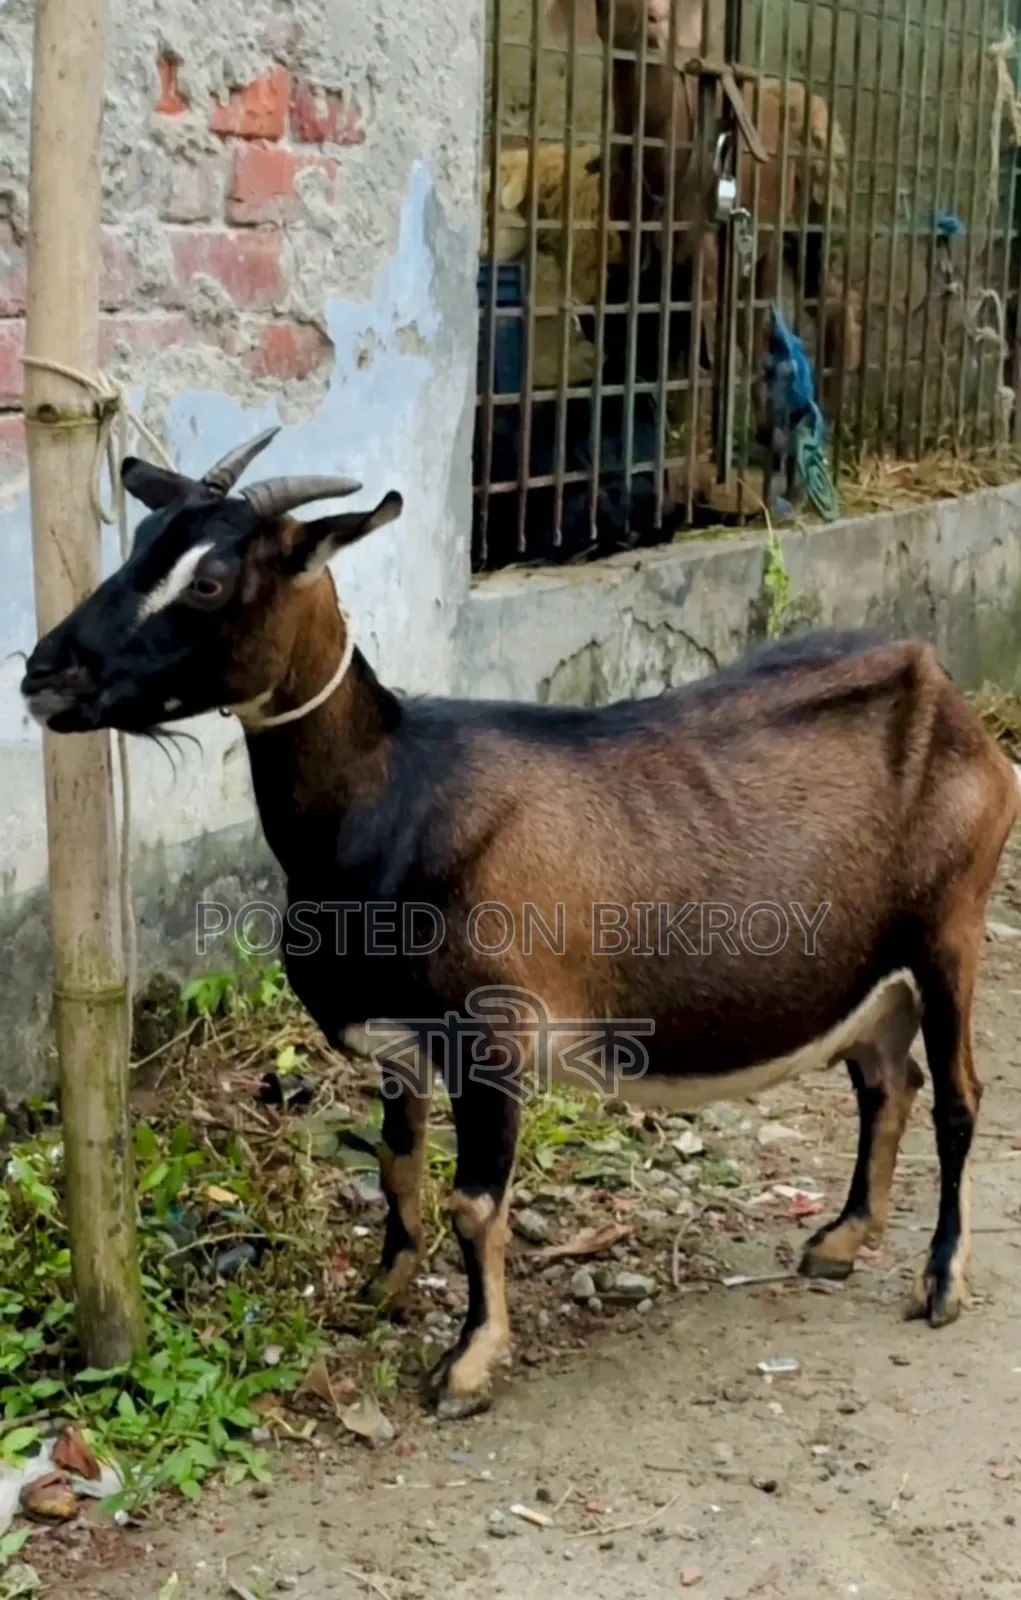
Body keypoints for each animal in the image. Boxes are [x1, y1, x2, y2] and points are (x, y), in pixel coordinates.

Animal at [22, 425, 1021, 1420]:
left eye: (211, 580)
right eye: (142, 542)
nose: (44, 673)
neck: (392, 797)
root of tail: (949, 699)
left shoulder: (490, 1030)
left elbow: (475, 1204)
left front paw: (466, 1363)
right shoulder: (402, 1039)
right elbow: (395, 1165)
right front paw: (382, 1288)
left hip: (949, 927)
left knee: (959, 1096)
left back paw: (939, 1279)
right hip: (868, 962)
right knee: (886, 1080)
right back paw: (842, 1238)